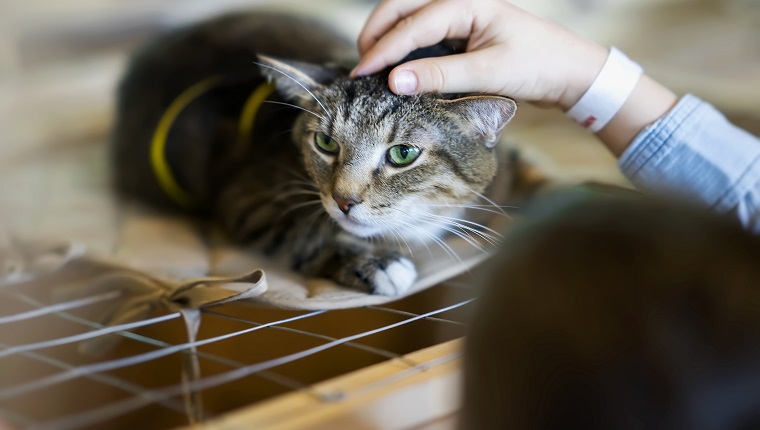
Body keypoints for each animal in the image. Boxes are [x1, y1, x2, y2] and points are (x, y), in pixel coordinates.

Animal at [114, 12, 528, 296]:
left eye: (403, 154)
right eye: (326, 143)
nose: (344, 200)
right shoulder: (247, 197)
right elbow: (305, 232)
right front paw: (371, 261)